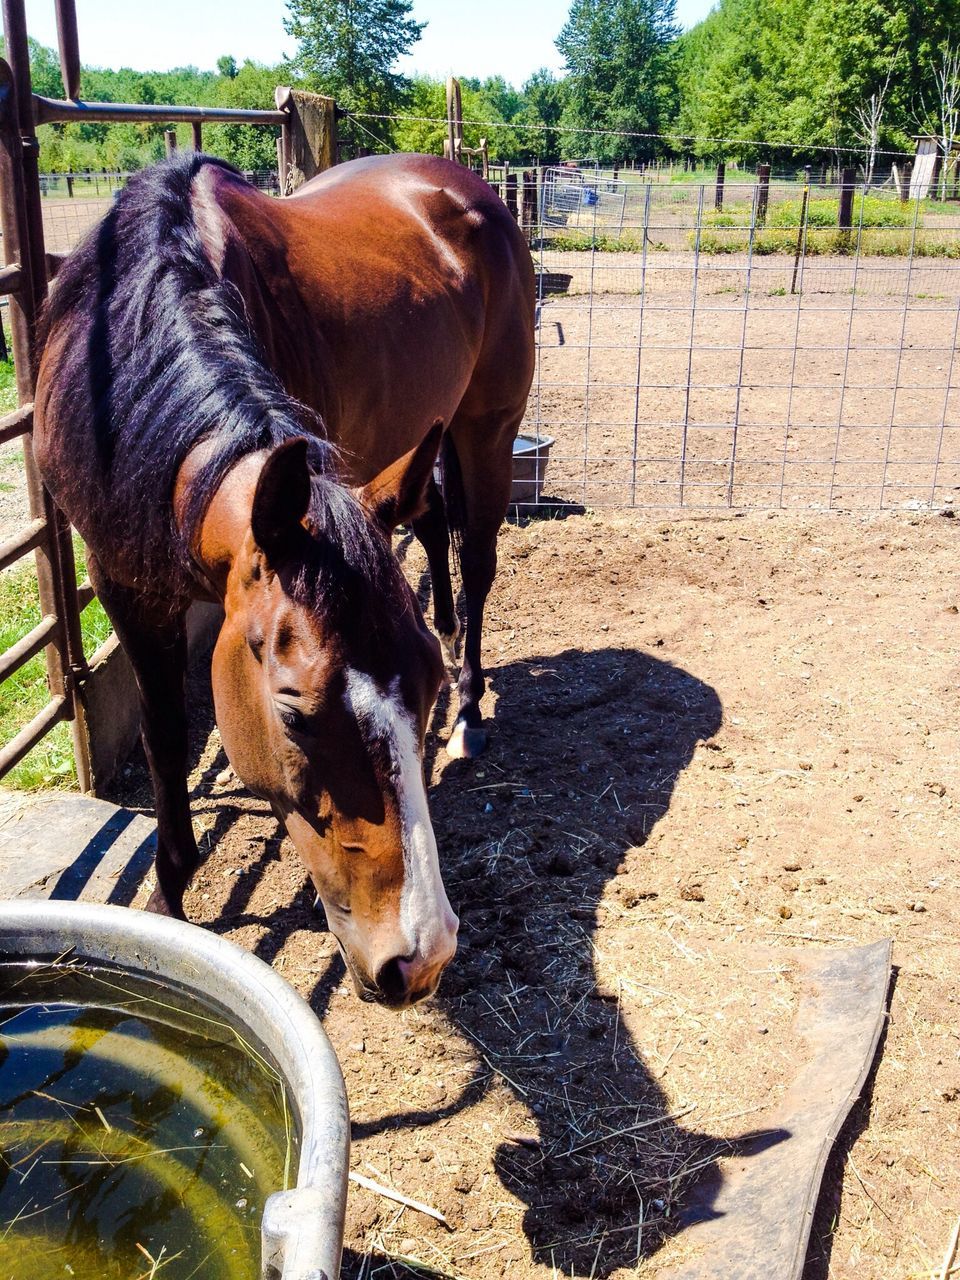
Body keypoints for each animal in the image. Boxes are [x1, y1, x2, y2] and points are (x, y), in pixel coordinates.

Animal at [33, 152, 537, 1008]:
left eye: (424, 689)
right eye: (294, 714)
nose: (421, 958)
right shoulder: (120, 581)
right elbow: (164, 734)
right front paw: (170, 892)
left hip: (486, 428)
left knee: (477, 560)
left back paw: (472, 709)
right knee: (436, 524)